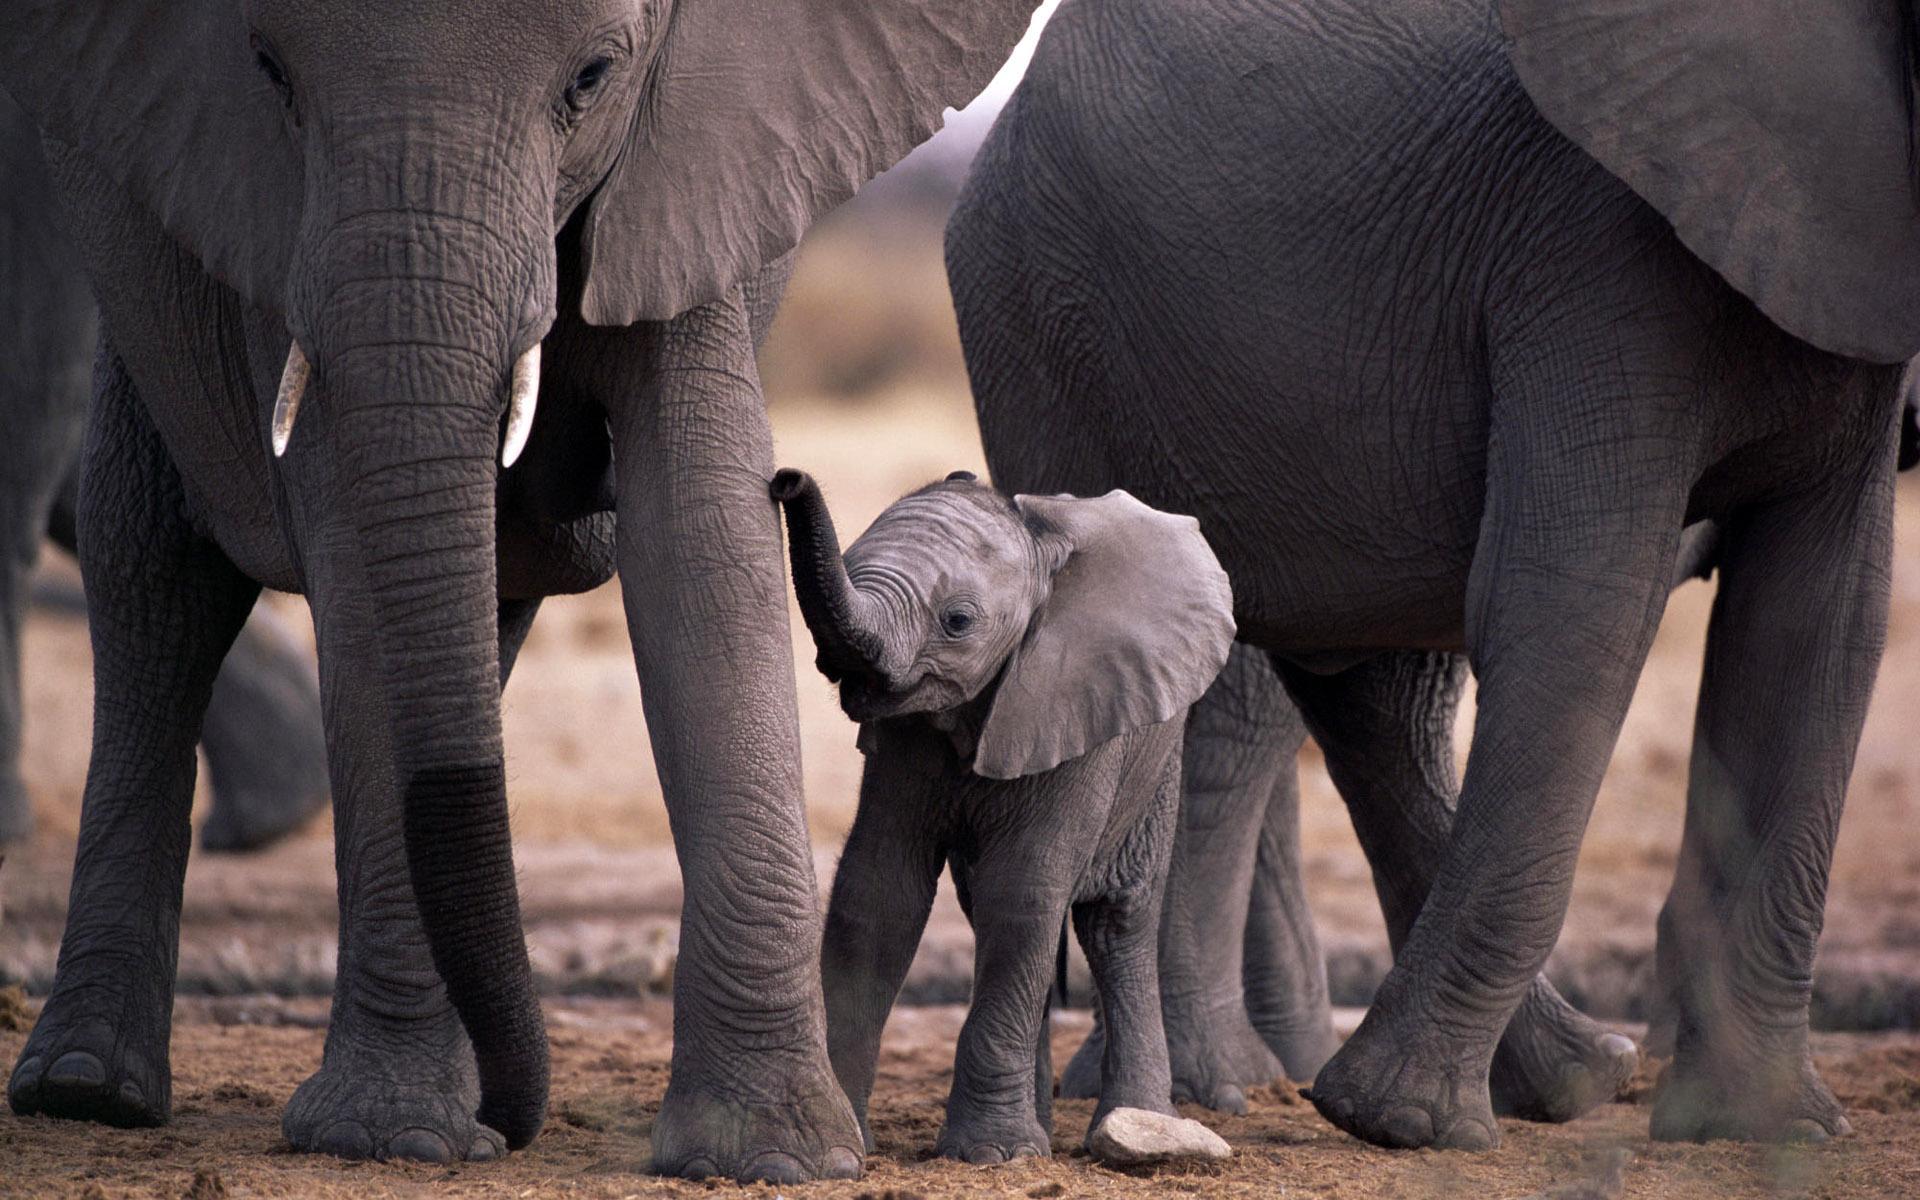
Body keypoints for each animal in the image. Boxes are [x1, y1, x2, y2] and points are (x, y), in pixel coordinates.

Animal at [771, 470, 1236, 1167]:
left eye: (958, 622)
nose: (786, 479)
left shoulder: (1074, 703)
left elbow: (1022, 893)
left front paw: (992, 1155)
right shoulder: (904, 739)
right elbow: (877, 896)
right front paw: (852, 1138)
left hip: (1156, 762)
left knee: (1114, 922)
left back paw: (1135, 1123)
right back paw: (1039, 1130)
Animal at [952, 0, 1912, 1144]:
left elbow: (1819, 628)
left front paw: (1762, 1130)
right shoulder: (1593, 251)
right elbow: (1574, 608)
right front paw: (1398, 1123)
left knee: (1368, 689)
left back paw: (1572, 1080)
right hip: (1044, 319)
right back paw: (1234, 1099)